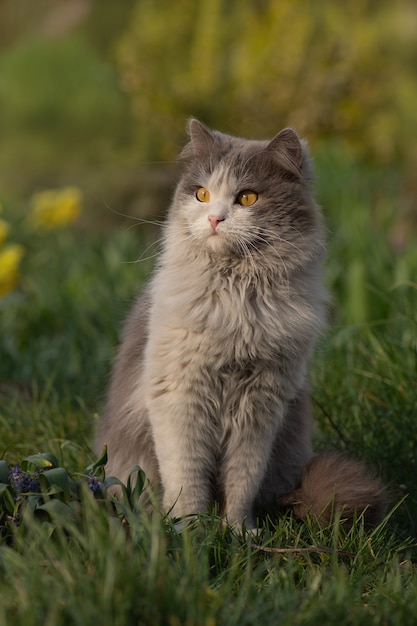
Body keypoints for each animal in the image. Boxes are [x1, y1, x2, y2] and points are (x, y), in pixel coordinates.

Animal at [96, 118, 386, 528]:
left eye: (247, 198)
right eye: (201, 194)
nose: (214, 219)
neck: (236, 300)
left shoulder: (261, 406)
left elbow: (242, 480)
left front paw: (236, 530)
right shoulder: (180, 396)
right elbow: (187, 476)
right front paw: (189, 529)